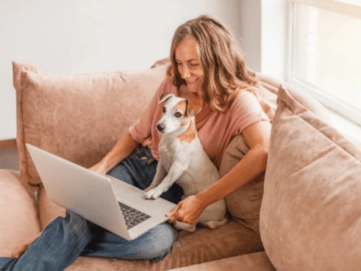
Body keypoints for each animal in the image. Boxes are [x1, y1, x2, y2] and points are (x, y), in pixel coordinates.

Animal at [144, 94, 226, 234]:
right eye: (164, 109)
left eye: (178, 114)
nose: (159, 127)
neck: (173, 137)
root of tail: (224, 214)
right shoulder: (162, 163)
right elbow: (157, 178)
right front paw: (150, 188)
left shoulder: (178, 166)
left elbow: (165, 181)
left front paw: (154, 192)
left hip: (199, 211)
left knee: (192, 227)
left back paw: (177, 223)